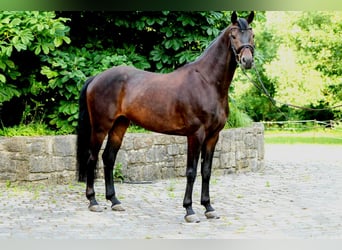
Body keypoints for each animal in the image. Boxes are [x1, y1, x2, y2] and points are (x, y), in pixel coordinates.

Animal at [77, 11, 254, 223]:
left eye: (252, 35)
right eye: (233, 36)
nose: (247, 61)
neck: (207, 82)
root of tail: (96, 78)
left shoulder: (213, 136)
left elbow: (206, 171)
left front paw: (208, 207)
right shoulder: (196, 135)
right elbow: (191, 172)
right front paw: (189, 210)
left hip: (120, 125)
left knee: (108, 158)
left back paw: (114, 201)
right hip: (100, 127)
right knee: (92, 157)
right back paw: (93, 201)